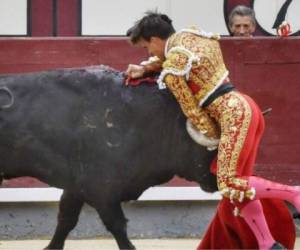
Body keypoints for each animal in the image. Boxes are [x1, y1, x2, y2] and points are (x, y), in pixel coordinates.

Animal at [0, 66, 217, 250]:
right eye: (211, 149)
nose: (217, 183)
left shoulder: (76, 187)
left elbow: (66, 220)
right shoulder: (102, 190)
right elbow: (117, 226)